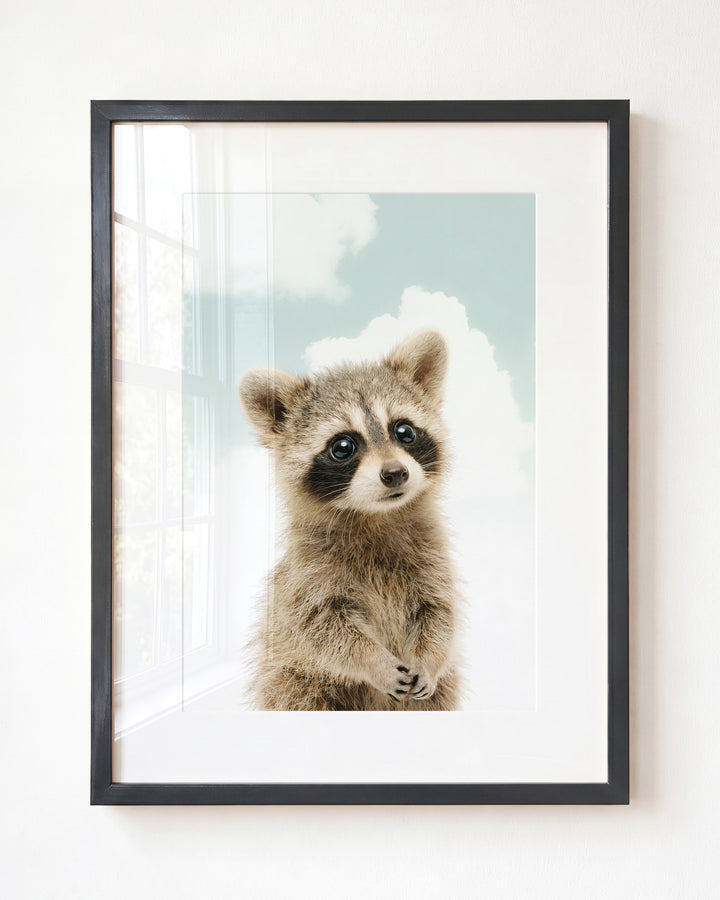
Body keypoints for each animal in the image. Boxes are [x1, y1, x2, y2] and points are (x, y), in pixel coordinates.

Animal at [238, 330, 460, 710]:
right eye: (343, 446)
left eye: (404, 431)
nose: (395, 473)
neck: (376, 516)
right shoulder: (307, 576)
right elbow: (325, 629)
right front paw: (374, 662)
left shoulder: (433, 558)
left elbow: (439, 612)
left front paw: (429, 659)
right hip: (293, 680)